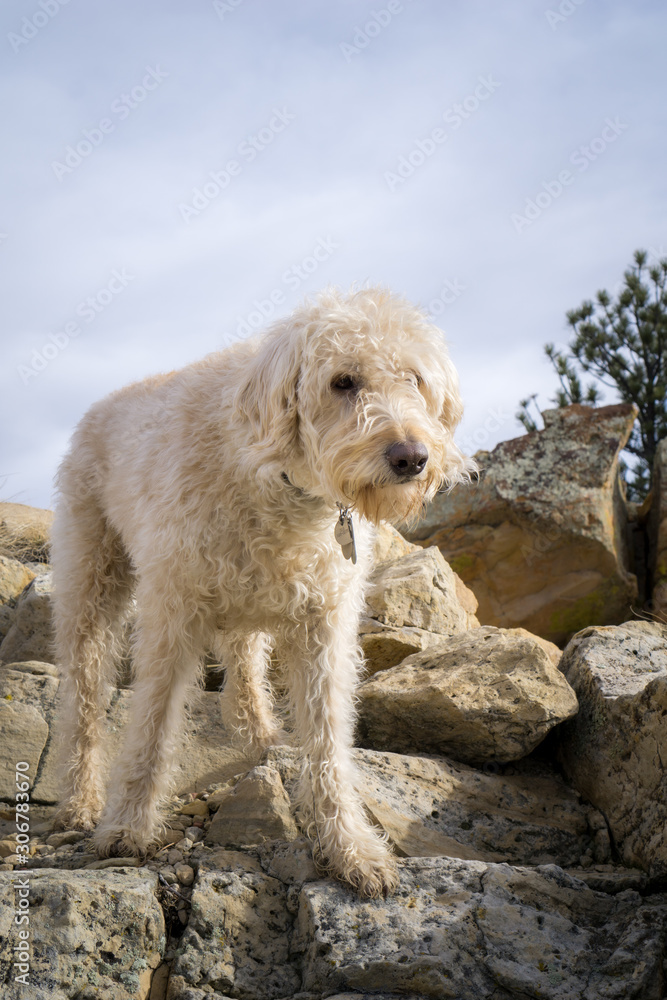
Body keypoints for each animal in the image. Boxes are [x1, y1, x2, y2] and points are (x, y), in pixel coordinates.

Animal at [51, 286, 470, 896]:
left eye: (414, 378)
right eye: (342, 381)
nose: (411, 458)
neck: (280, 480)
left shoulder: (325, 622)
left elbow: (327, 738)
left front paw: (350, 848)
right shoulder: (173, 613)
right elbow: (151, 726)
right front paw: (127, 826)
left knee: (244, 667)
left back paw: (264, 737)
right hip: (91, 585)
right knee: (83, 701)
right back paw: (81, 802)